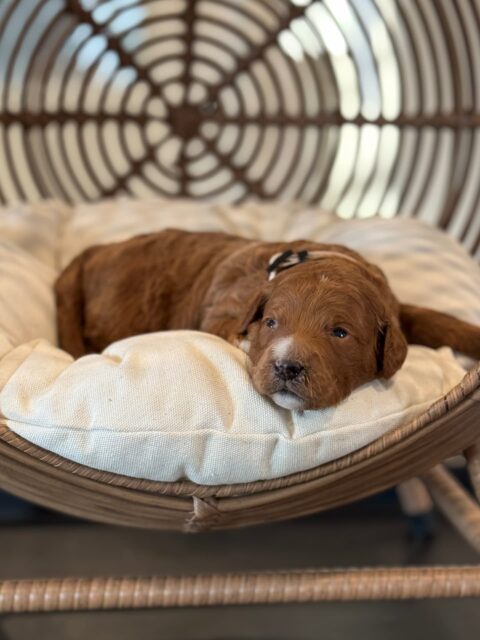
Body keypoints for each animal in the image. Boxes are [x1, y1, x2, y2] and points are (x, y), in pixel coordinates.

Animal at [54, 229, 480, 410]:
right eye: (271, 323)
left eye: (340, 333)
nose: (288, 367)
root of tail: (89, 254)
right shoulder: (226, 308)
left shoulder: (395, 306)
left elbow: (438, 320)